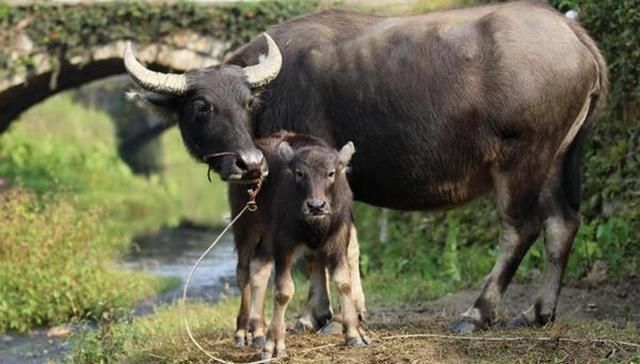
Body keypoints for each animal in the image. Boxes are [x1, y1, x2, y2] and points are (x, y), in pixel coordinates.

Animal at [124, 0, 604, 332]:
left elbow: (316, 248)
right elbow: (348, 246)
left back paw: (477, 313)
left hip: (523, 159)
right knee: (563, 222)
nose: (249, 162)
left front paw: (315, 316)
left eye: (246, 102)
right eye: (201, 106)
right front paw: (351, 313)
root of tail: (573, 31)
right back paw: (539, 311)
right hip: (559, 157)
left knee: (520, 229)